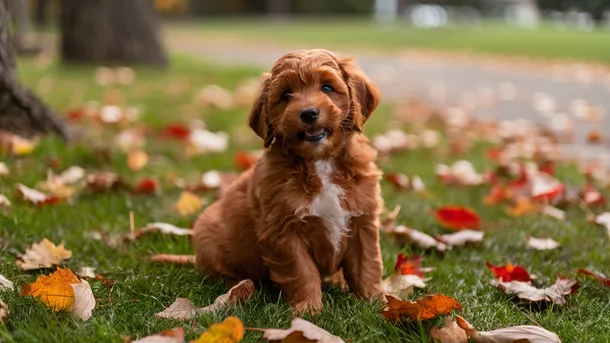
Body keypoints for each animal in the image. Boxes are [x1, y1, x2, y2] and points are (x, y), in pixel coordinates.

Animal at [195, 48, 382, 314]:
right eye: (286, 95)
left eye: (327, 87)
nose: (309, 113)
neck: (321, 162)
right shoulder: (283, 231)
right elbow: (302, 272)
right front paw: (308, 310)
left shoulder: (362, 222)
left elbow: (367, 265)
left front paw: (377, 303)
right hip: (208, 237)